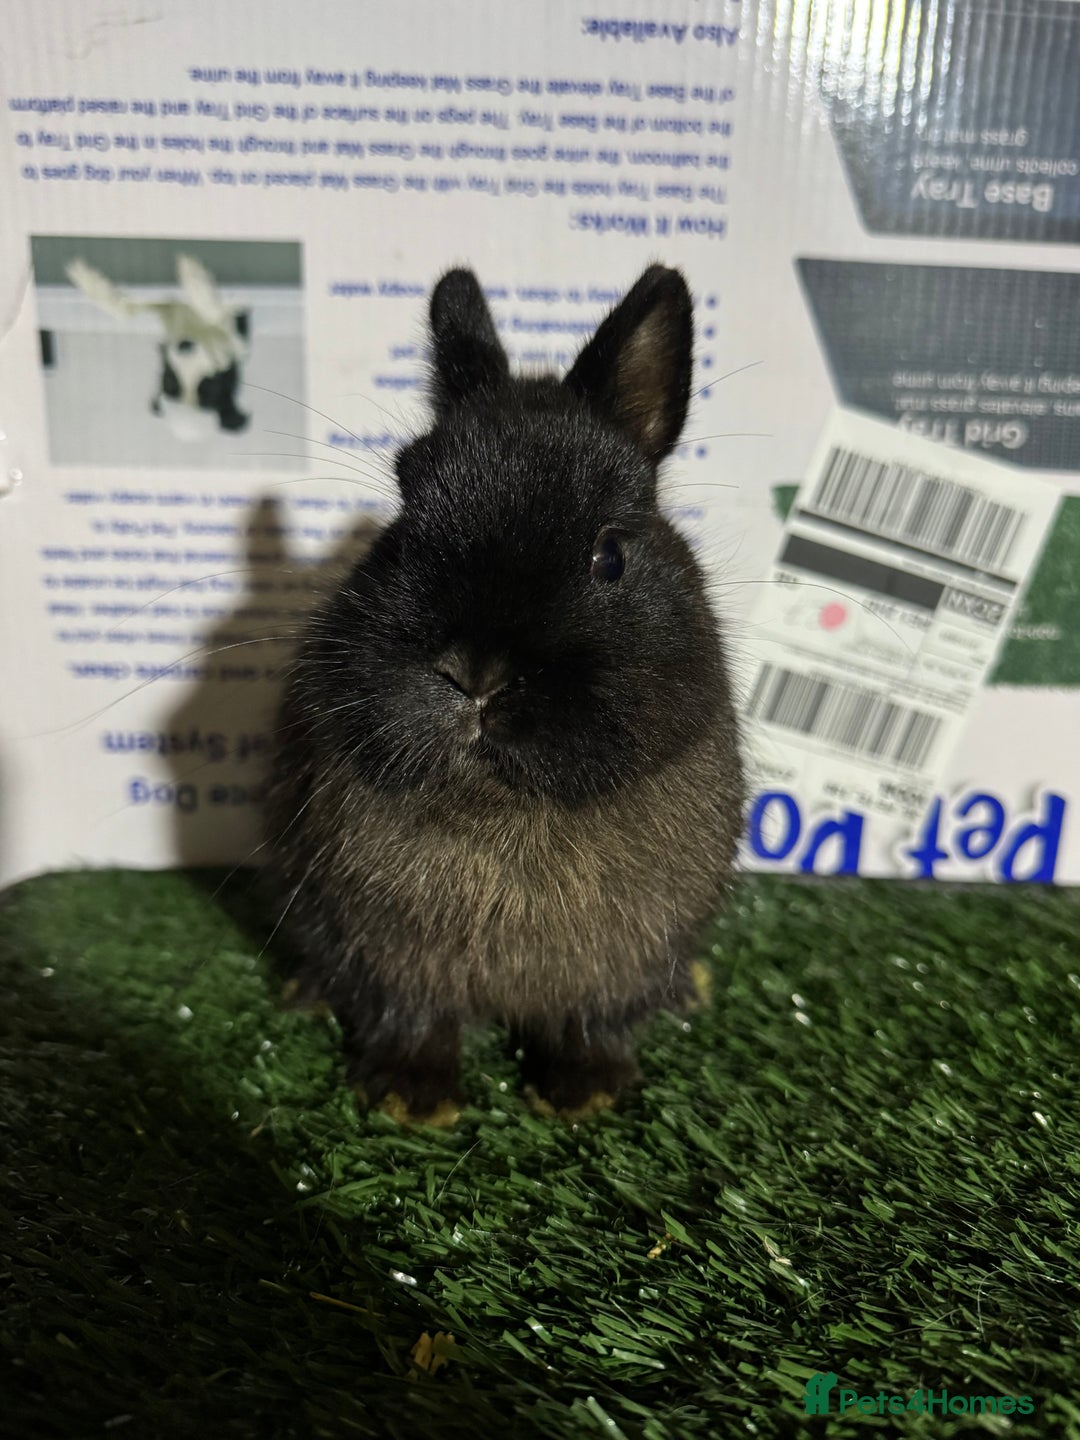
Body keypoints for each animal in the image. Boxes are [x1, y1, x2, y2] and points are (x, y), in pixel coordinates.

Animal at [264, 264, 744, 1124]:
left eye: (611, 555)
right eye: (405, 522)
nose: (476, 672)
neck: (503, 809)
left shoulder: (625, 959)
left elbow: (595, 1019)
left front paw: (586, 1093)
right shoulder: (382, 950)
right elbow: (409, 1013)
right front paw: (413, 1100)